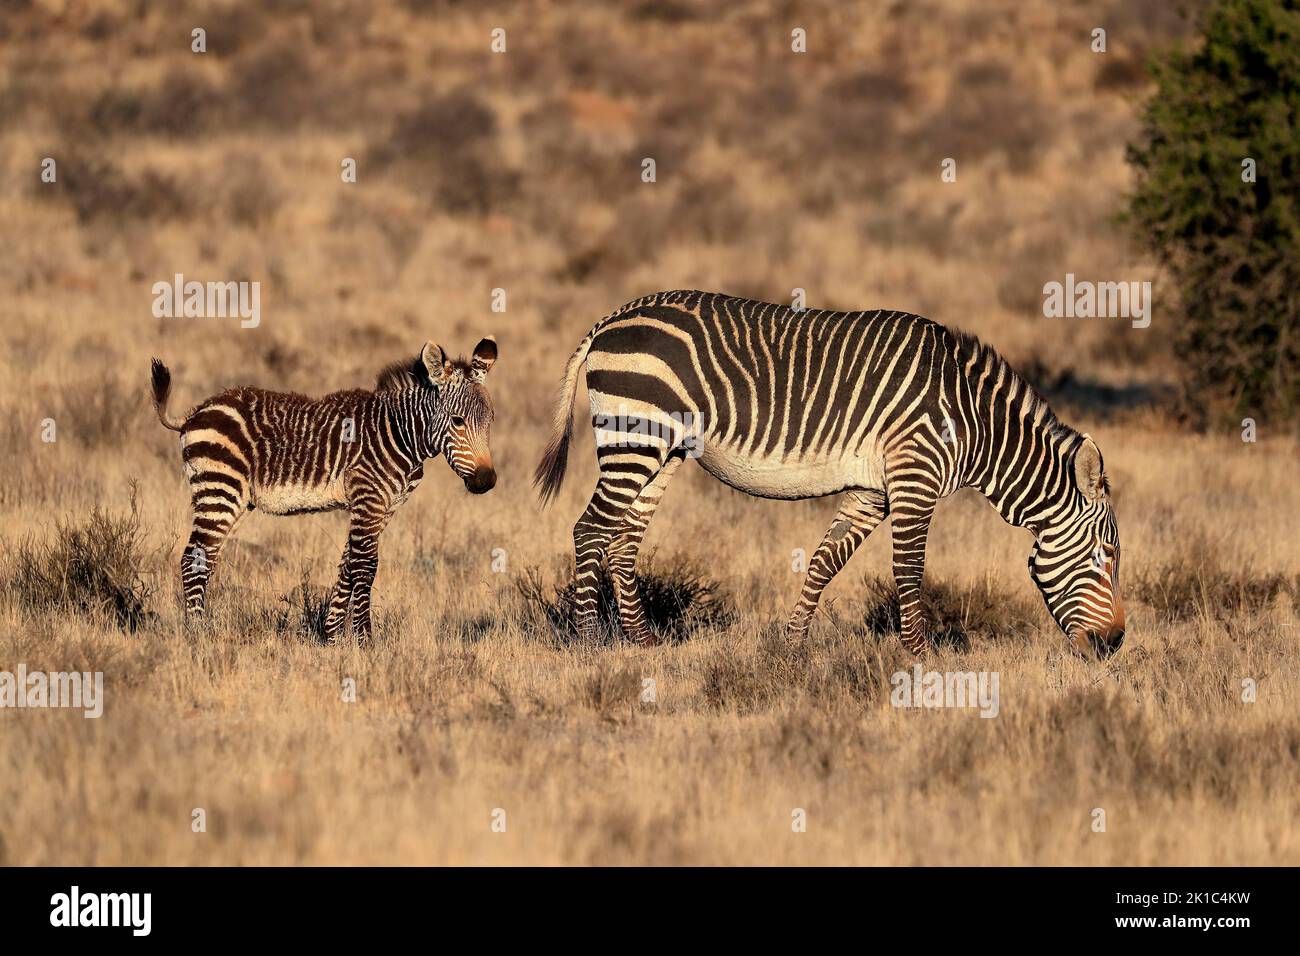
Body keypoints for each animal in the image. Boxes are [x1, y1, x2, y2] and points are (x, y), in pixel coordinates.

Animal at [150, 338, 498, 642]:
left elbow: (347, 564)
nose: (486, 481)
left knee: (205, 557)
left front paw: (331, 636)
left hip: (227, 495)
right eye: (457, 421)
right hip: (220, 488)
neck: (400, 434)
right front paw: (365, 642)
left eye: (491, 420)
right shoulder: (369, 499)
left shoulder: (383, 507)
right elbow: (364, 567)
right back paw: (199, 634)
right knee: (194, 558)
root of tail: (197, 411)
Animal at [534, 290, 1124, 657]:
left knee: (622, 541)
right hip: (637, 437)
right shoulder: (915, 476)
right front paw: (923, 657)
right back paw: (591, 642)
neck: (973, 422)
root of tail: (611, 318)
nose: (1116, 644)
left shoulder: (872, 490)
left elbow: (824, 562)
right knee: (590, 531)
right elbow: (909, 570)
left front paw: (792, 647)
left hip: (660, 451)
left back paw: (643, 642)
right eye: (1107, 555)